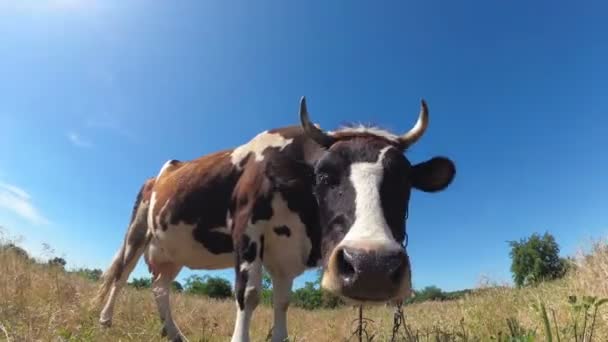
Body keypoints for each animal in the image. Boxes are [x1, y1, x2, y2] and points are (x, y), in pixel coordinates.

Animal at [96, 96, 456, 342]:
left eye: (405, 182)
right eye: (324, 176)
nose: (372, 266)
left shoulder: (285, 251)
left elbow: (282, 301)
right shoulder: (247, 230)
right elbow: (250, 293)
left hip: (173, 251)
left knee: (159, 287)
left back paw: (174, 334)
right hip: (138, 232)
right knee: (122, 275)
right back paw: (105, 321)